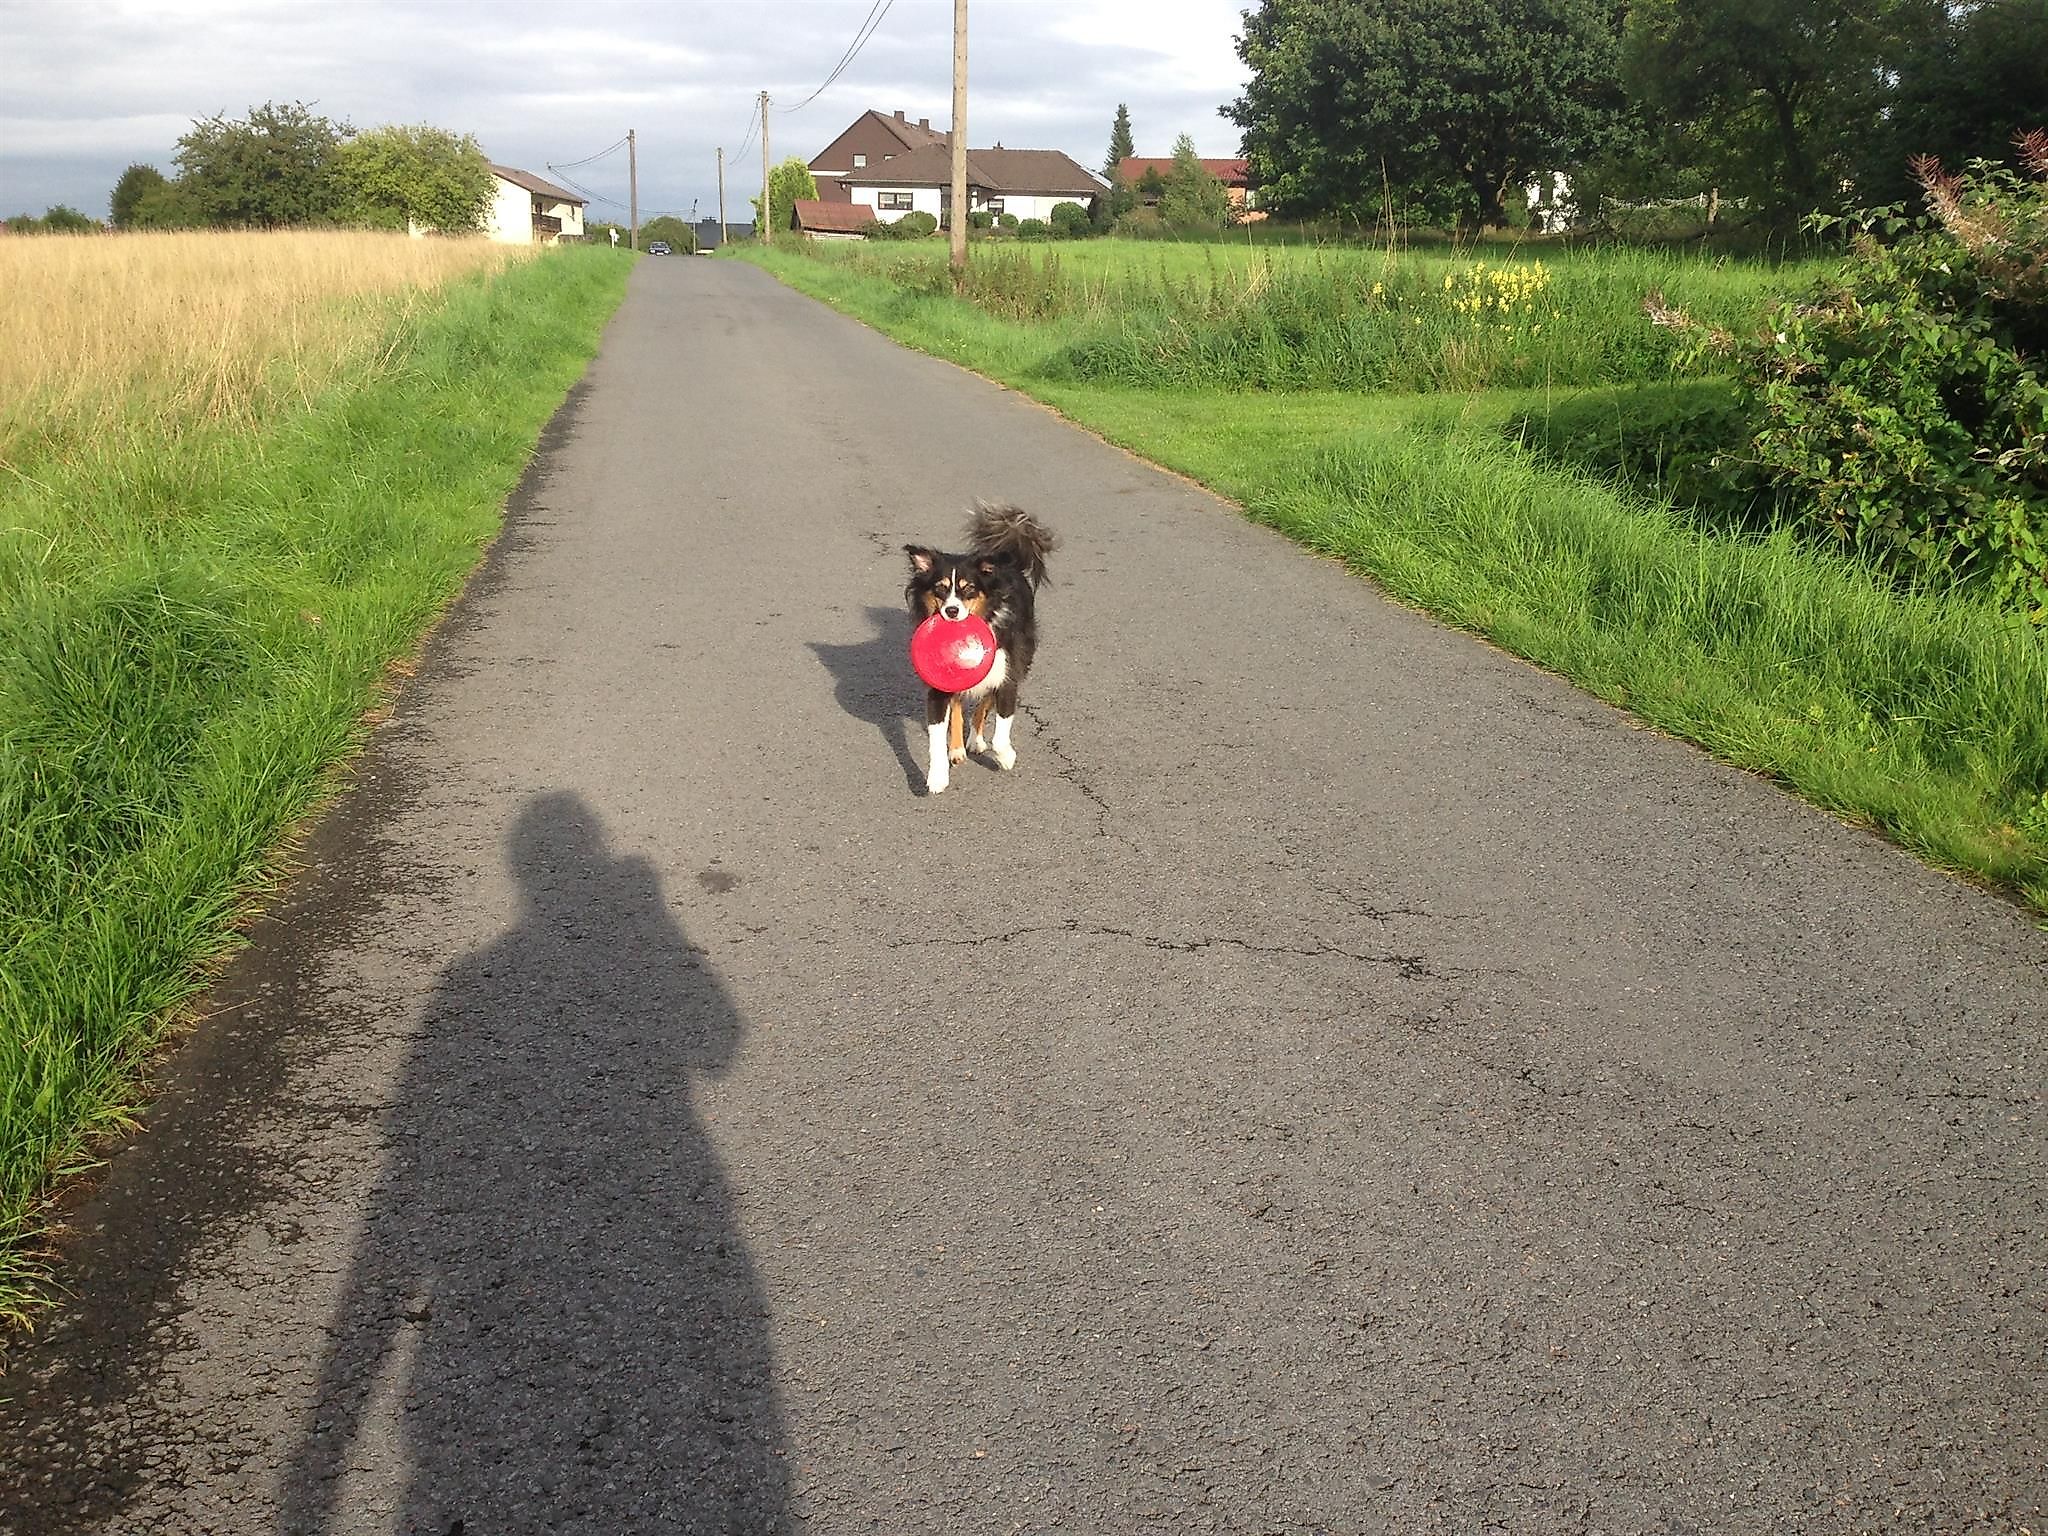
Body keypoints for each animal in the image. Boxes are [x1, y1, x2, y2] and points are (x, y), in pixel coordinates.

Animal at [904, 504, 1056, 795]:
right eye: (940, 589)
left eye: (969, 589)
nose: (952, 611)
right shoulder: (937, 686)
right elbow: (937, 734)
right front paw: (937, 776)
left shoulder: (1007, 677)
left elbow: (998, 731)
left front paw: (1006, 757)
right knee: (959, 705)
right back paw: (957, 748)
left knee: (984, 702)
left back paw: (975, 740)